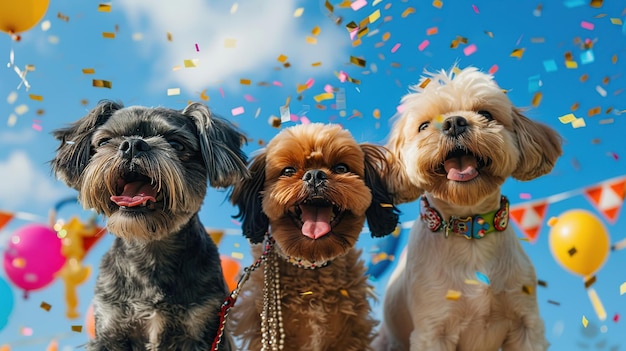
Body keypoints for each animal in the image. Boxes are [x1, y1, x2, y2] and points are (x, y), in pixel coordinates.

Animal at [51, 100, 246, 350]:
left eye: (176, 144)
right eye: (104, 141)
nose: (133, 144)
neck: (151, 248)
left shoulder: (204, 327)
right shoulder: (111, 326)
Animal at [370, 66, 560, 351]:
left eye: (486, 114)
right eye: (423, 126)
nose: (454, 123)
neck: (470, 229)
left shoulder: (526, 324)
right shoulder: (433, 329)